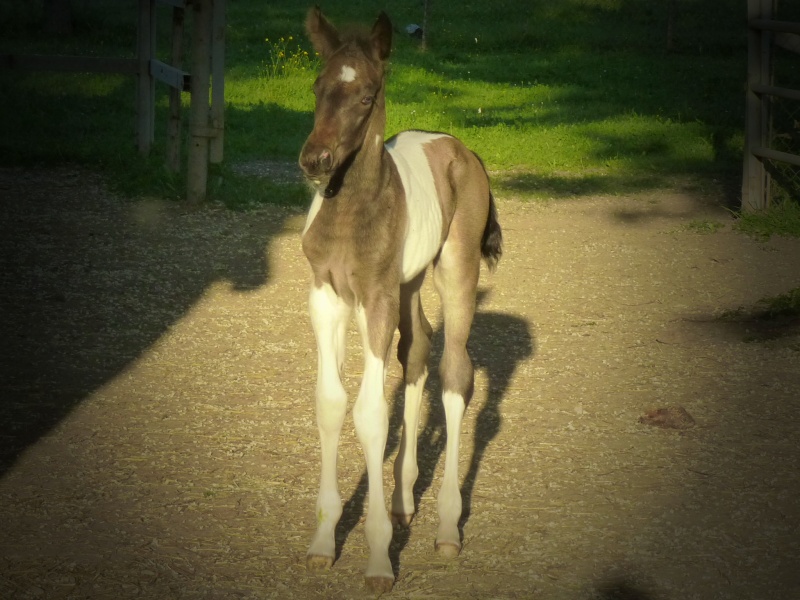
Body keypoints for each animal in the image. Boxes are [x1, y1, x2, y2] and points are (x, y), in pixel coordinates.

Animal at [296, 7, 504, 592]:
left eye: (366, 95)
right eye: (318, 86)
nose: (314, 160)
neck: (351, 213)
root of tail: (462, 148)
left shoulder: (377, 298)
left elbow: (370, 413)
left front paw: (377, 559)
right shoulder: (326, 295)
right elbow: (331, 403)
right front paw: (323, 541)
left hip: (455, 268)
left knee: (455, 372)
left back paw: (447, 527)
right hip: (409, 284)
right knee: (417, 352)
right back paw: (404, 498)